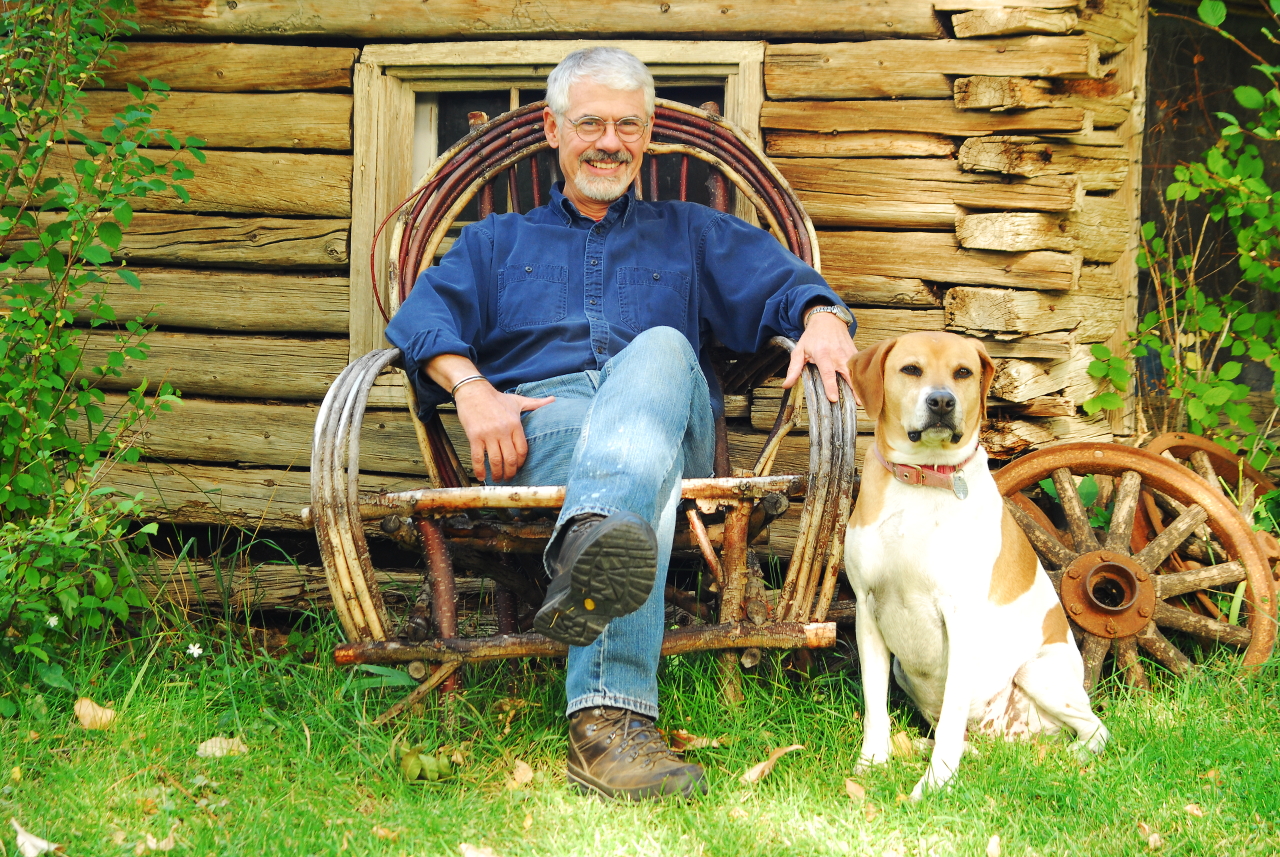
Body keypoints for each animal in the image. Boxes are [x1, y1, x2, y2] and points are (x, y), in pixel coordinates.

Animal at [844, 335, 1105, 798]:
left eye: (963, 372)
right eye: (910, 369)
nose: (942, 401)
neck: (921, 481)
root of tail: (1015, 734)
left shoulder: (959, 618)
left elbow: (950, 718)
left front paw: (935, 783)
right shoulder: (866, 611)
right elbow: (876, 708)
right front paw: (872, 763)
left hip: (1039, 672)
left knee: (1096, 728)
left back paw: (1072, 756)